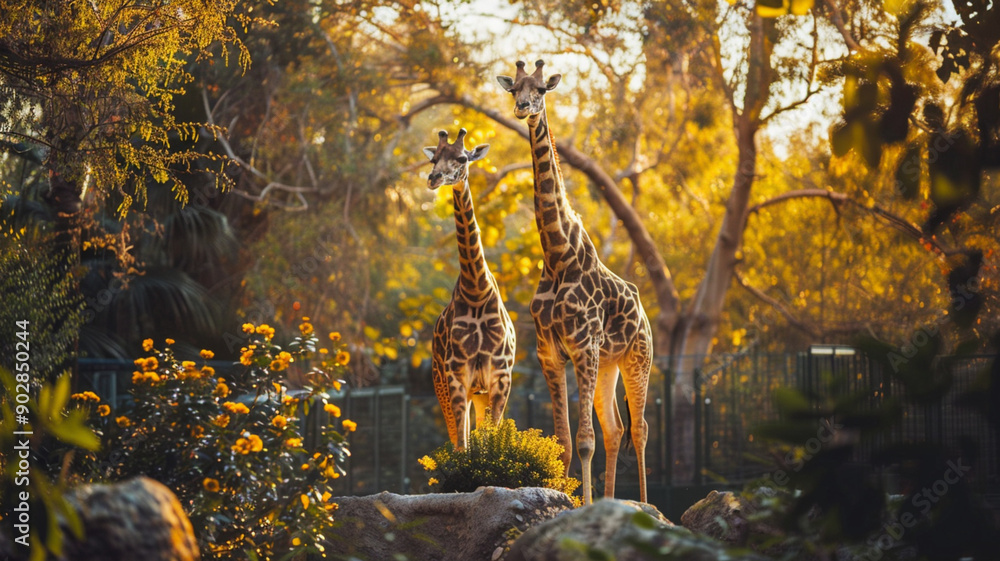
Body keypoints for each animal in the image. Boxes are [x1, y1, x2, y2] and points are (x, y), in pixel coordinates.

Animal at [422, 128, 516, 450]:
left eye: (463, 158)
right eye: (434, 158)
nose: (433, 178)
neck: (476, 288)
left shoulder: (500, 378)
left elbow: (488, 442)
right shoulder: (456, 377)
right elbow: (463, 446)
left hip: (480, 393)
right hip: (442, 383)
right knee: (457, 437)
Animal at [498, 61, 656, 504]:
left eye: (540, 90)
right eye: (514, 88)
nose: (523, 107)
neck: (557, 256)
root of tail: (645, 314)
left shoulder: (583, 344)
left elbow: (585, 441)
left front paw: (580, 502)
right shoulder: (550, 352)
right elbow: (566, 442)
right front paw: (567, 502)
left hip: (638, 358)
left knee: (639, 428)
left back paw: (643, 504)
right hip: (608, 364)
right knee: (616, 428)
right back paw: (613, 501)